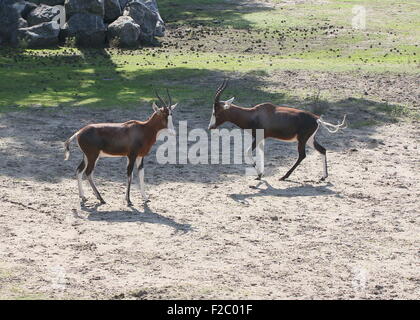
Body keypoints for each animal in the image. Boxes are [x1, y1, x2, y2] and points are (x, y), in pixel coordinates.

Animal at [208, 80, 348, 180]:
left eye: (216, 112)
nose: (210, 127)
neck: (255, 114)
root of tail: (317, 119)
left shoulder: (258, 138)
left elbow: (247, 152)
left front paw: (258, 173)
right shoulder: (261, 139)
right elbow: (261, 154)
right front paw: (260, 175)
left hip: (302, 140)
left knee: (302, 155)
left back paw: (284, 176)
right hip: (309, 140)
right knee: (322, 150)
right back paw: (323, 177)